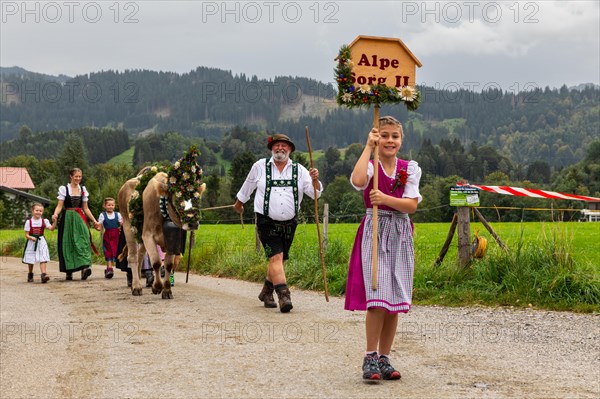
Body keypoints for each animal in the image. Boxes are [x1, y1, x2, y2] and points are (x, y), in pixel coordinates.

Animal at [117, 146, 206, 296]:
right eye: (177, 199)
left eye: (197, 198)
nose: (193, 223)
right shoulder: (148, 235)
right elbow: (157, 262)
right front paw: (157, 286)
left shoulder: (172, 240)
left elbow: (168, 265)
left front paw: (167, 289)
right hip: (128, 227)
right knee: (133, 257)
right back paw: (136, 286)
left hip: (140, 233)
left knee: (141, 255)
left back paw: (138, 281)